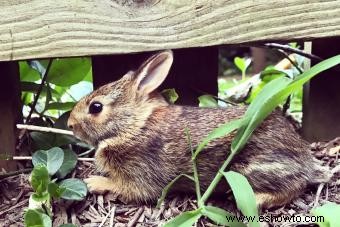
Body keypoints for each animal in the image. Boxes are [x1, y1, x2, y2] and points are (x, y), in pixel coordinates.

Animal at [67, 50, 330, 208]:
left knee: (294, 186)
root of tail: (305, 162)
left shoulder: (141, 174)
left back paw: (255, 198)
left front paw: (94, 182)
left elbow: (130, 188)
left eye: (96, 107)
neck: (135, 125)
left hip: (251, 168)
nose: (70, 125)